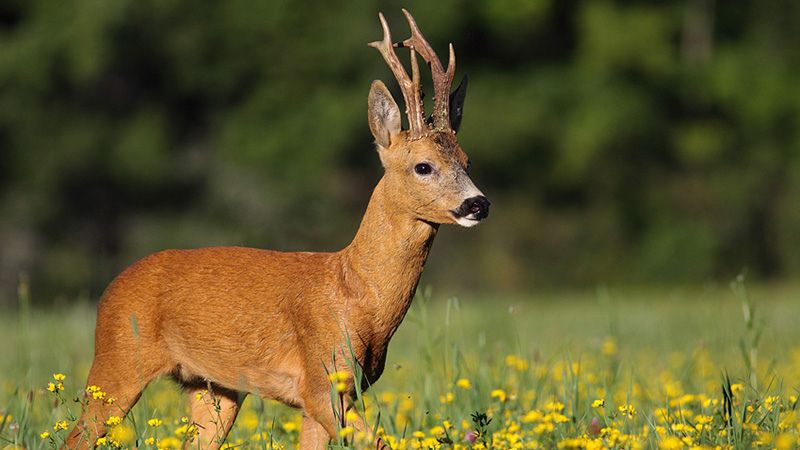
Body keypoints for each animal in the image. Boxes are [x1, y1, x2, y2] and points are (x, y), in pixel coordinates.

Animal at [64, 9, 489, 450]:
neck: (357, 293)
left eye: (467, 161)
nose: (478, 204)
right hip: (118, 360)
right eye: (423, 165)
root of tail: (109, 291)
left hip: (214, 387)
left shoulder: (328, 395)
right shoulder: (321, 381)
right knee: (76, 436)